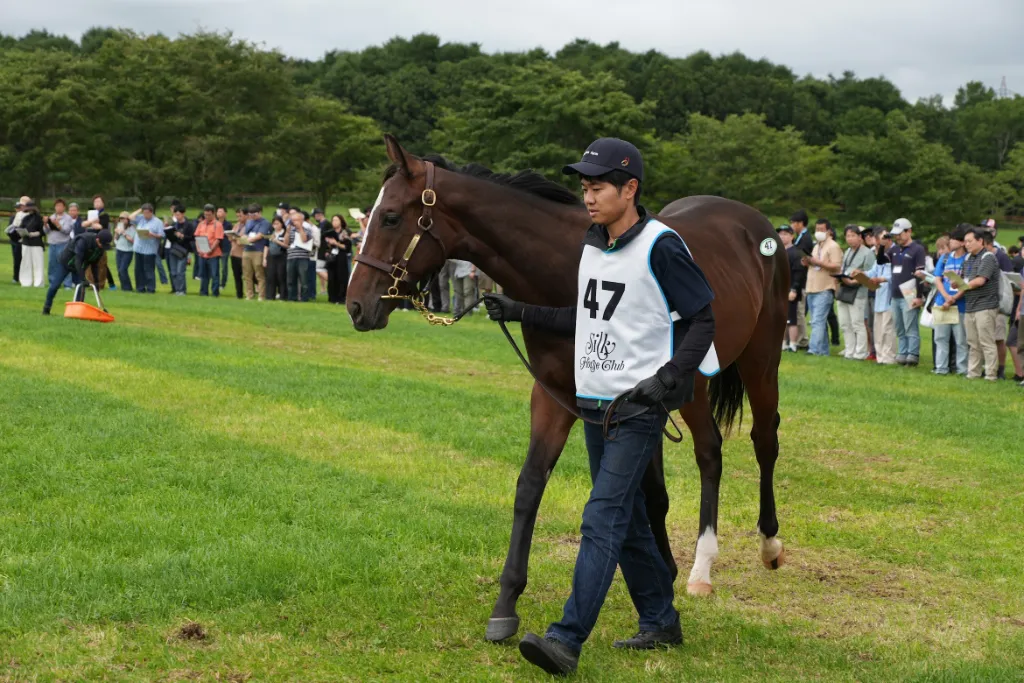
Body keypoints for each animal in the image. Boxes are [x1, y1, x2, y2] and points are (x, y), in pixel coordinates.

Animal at [347, 135, 788, 643]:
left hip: (755, 362)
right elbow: (535, 484)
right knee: (706, 455)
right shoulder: (559, 396)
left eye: (390, 216)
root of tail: (754, 224)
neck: (565, 268)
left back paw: (744, 552)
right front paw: (506, 604)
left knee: (749, 443)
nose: (355, 305)